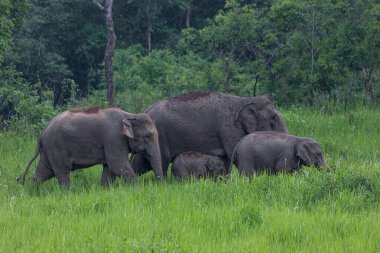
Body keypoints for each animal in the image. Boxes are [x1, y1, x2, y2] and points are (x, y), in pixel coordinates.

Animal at [18, 106, 163, 188]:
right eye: (148, 136)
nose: (161, 187)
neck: (130, 115)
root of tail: (43, 131)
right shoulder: (114, 138)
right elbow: (117, 165)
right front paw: (138, 190)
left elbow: (109, 168)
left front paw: (105, 190)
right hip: (56, 147)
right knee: (62, 171)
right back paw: (66, 193)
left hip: (48, 150)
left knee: (44, 171)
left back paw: (32, 192)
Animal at [131, 91, 288, 176]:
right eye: (273, 118)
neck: (245, 100)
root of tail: (145, 110)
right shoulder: (229, 129)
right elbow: (233, 154)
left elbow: (226, 160)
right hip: (161, 137)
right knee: (160, 163)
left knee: (142, 162)